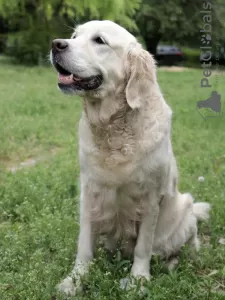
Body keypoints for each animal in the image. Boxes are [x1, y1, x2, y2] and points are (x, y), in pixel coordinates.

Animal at [50, 20, 211, 296]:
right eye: (74, 35)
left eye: (99, 40)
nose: (56, 44)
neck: (112, 129)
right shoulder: (89, 192)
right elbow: (84, 246)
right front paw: (75, 280)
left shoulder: (150, 198)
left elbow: (143, 247)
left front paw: (138, 279)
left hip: (185, 211)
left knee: (186, 247)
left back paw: (173, 263)